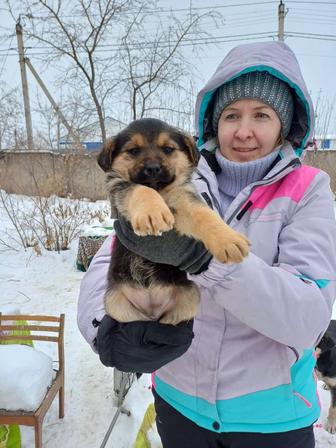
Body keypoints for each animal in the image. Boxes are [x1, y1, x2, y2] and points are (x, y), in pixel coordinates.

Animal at [97, 117, 249, 324]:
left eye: (168, 149)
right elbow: (141, 189)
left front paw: (227, 239)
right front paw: (152, 213)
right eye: (133, 151)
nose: (153, 169)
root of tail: (152, 308)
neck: (160, 191)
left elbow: (204, 213)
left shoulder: (183, 197)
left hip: (189, 296)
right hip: (115, 302)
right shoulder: (119, 187)